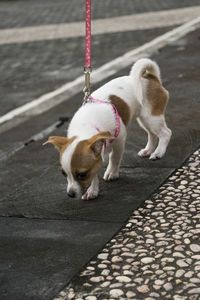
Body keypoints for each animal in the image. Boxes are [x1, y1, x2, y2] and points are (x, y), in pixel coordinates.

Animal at [43, 58, 171, 199]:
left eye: (82, 175)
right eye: (64, 173)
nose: (71, 194)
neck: (86, 126)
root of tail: (150, 77)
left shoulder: (120, 140)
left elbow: (114, 157)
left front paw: (112, 173)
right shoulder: (95, 160)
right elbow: (95, 172)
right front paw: (92, 190)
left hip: (152, 117)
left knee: (166, 133)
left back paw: (158, 152)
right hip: (144, 119)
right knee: (152, 134)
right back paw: (148, 150)